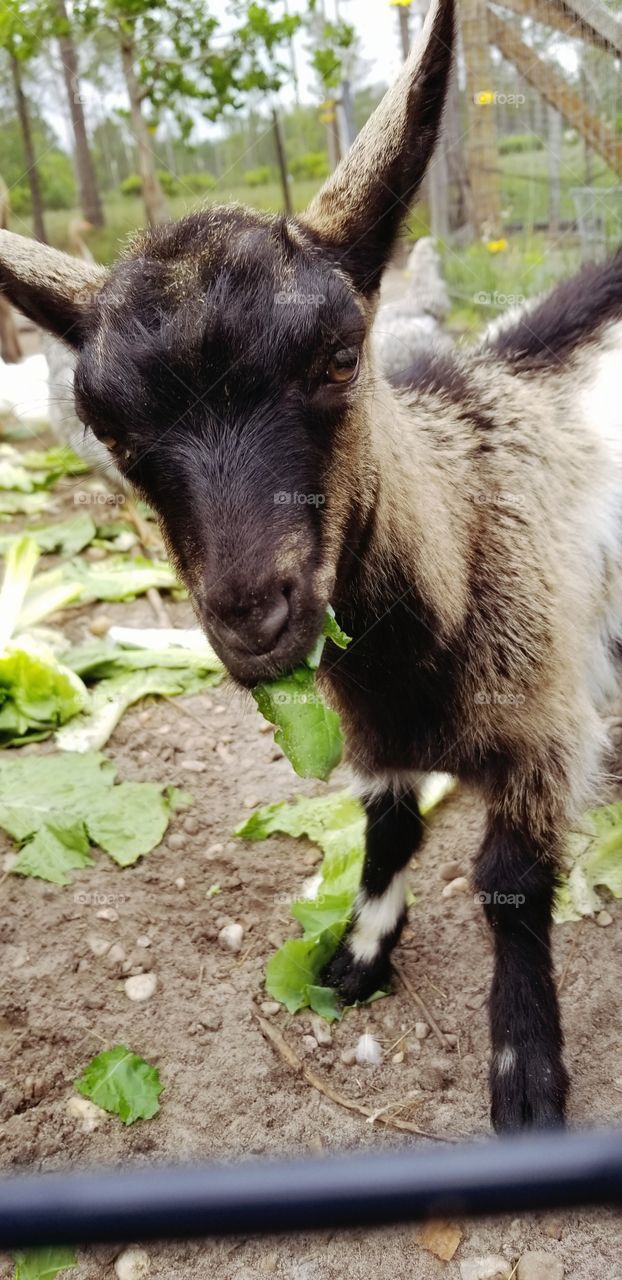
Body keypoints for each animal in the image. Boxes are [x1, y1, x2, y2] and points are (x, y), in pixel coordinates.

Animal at [0, 0, 620, 1132]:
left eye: (339, 356)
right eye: (106, 425)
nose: (252, 613)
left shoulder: (544, 719)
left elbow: (510, 883)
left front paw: (525, 1073)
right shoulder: (374, 732)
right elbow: (385, 831)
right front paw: (357, 956)